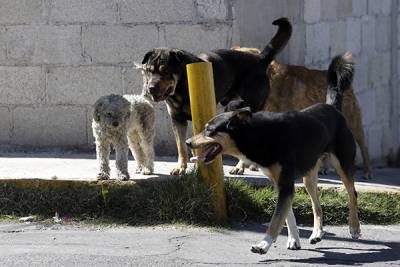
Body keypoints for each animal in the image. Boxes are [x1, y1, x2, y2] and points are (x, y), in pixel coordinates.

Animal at [186, 52, 360, 255]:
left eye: (209, 130)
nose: (188, 142)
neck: (258, 135)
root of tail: (333, 108)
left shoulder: (285, 184)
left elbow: (277, 218)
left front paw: (264, 244)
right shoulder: (280, 183)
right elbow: (287, 215)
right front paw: (293, 239)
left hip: (343, 164)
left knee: (352, 193)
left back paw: (354, 228)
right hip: (309, 175)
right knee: (316, 204)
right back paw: (317, 233)